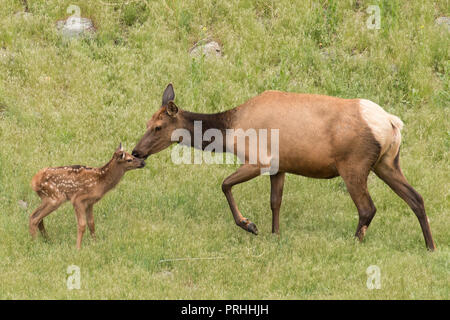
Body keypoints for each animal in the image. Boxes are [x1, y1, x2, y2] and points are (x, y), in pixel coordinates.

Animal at [133, 84, 436, 250]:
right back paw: (430, 246)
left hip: (354, 164)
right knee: (417, 198)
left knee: (368, 208)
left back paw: (354, 243)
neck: (229, 132)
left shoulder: (259, 159)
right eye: (147, 123)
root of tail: (392, 123)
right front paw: (275, 235)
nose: (136, 151)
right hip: (387, 162)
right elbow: (275, 202)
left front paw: (249, 225)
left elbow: (225, 184)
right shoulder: (280, 166)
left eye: (158, 127)